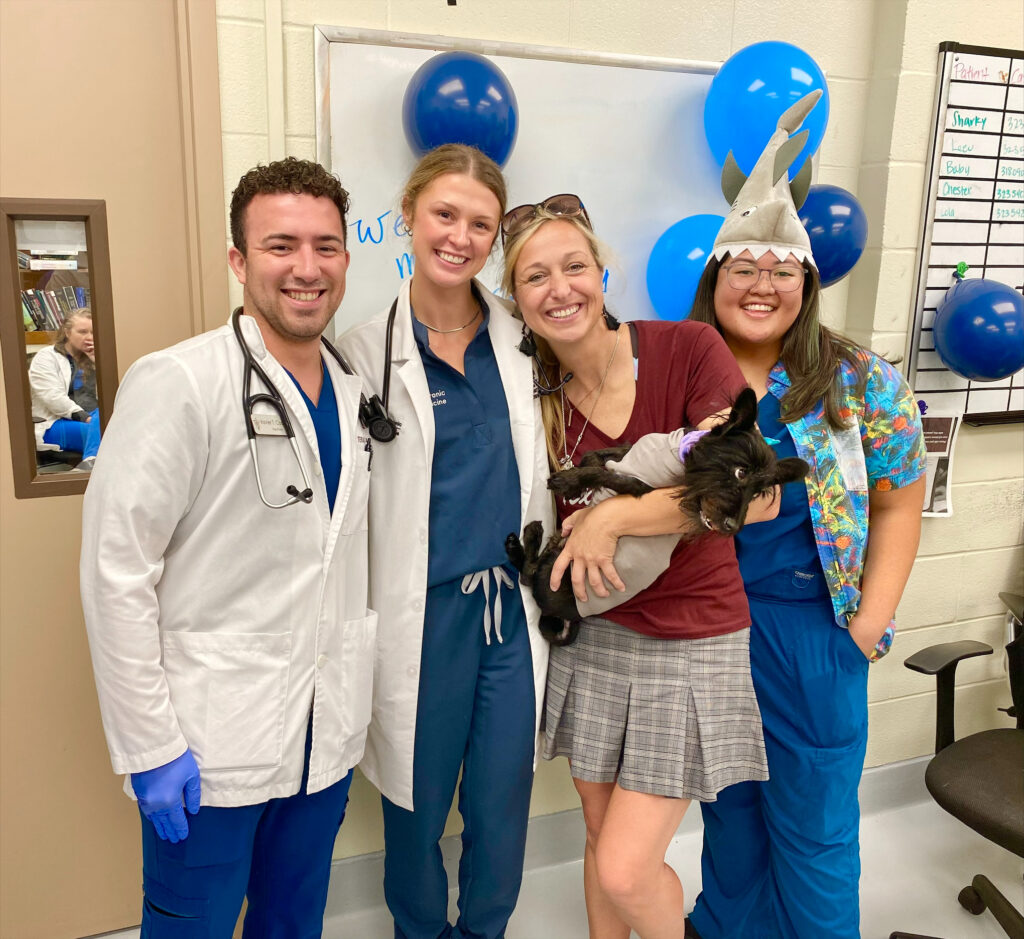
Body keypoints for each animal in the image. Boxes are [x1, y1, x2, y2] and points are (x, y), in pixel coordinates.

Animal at [503, 389, 806, 643]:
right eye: (741, 472)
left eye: (758, 494)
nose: (731, 527)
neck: (679, 452)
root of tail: (565, 617)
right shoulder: (630, 452)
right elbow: (597, 456)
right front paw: (579, 481)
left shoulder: (641, 487)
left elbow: (604, 473)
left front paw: (570, 481)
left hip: (553, 571)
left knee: (528, 576)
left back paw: (528, 538)